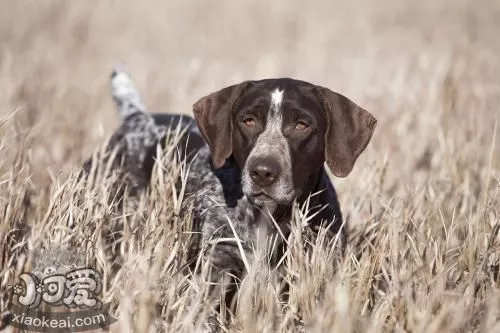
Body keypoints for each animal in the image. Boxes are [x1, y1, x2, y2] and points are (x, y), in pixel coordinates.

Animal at [83, 68, 376, 328]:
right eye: (248, 120)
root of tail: (136, 118)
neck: (272, 216)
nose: (263, 172)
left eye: (302, 124)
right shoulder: (218, 269)